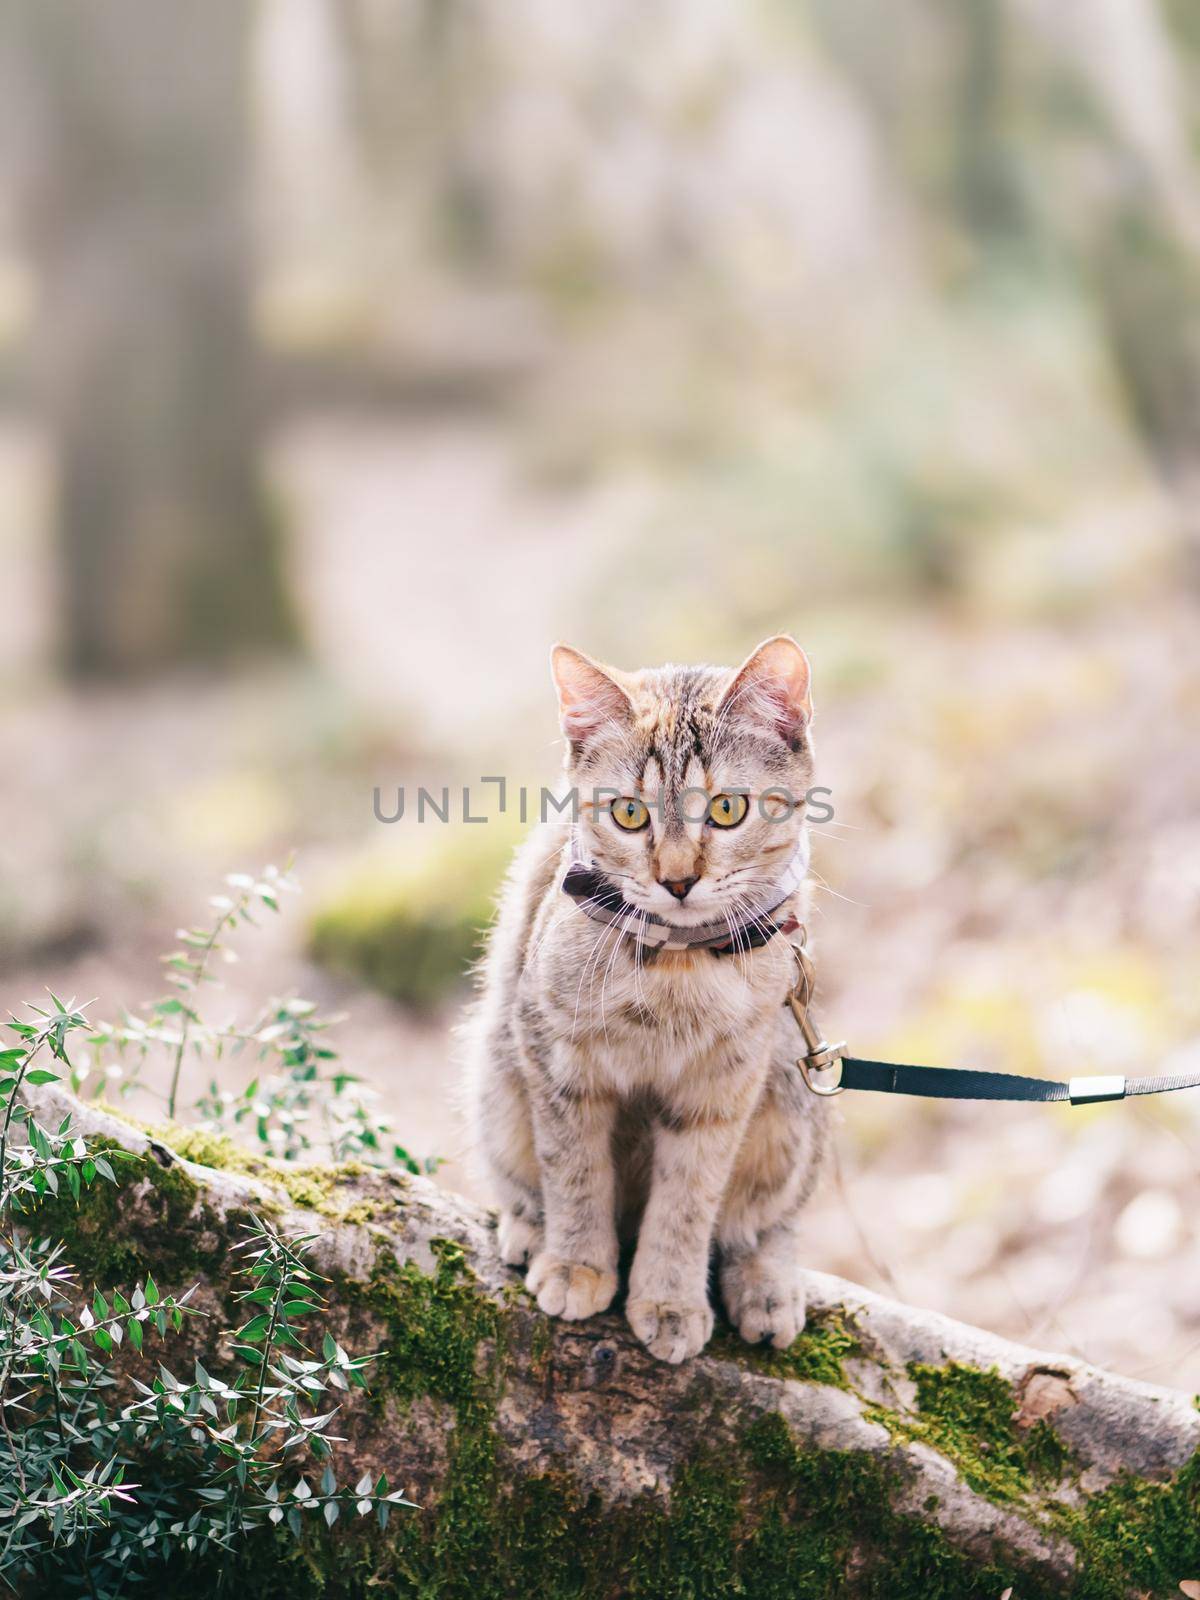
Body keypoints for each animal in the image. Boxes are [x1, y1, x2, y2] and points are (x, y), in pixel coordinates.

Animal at [464, 636, 832, 1363]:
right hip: (497, 1070)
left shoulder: (723, 1090)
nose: (678, 880)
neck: (677, 968)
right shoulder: (558, 1063)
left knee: (767, 1222)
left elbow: (688, 1204)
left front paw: (669, 1300)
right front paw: (576, 1264)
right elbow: (574, 1173)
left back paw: (767, 1287)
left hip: (790, 1095)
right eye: (629, 814)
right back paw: (530, 1230)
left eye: (727, 809)